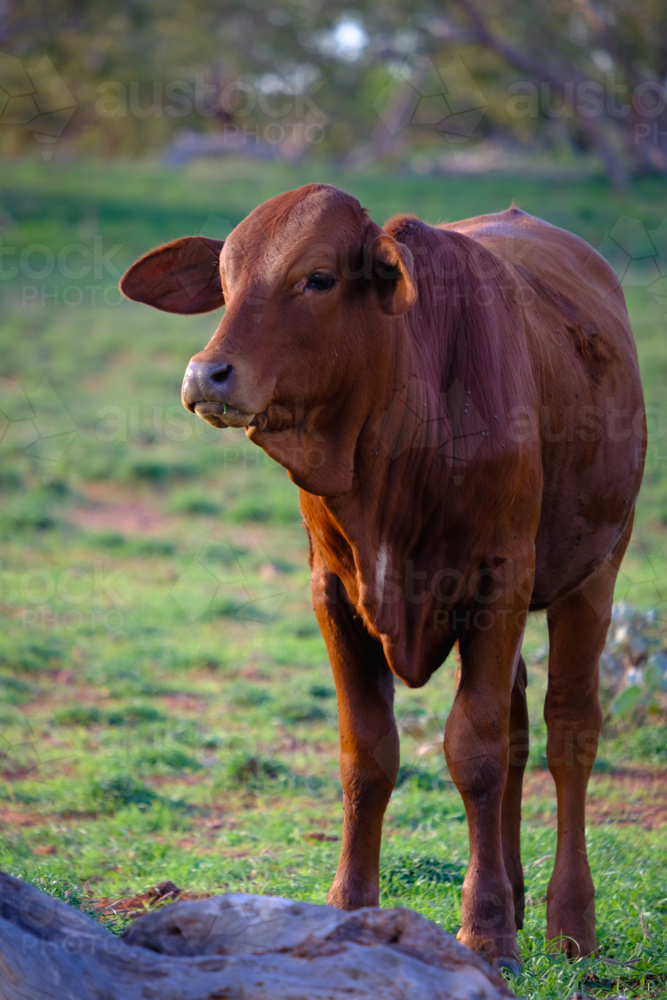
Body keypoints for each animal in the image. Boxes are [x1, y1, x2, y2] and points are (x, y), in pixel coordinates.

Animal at [121, 184, 648, 972]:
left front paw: (486, 932)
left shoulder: (499, 580)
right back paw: (518, 894)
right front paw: (349, 908)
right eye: (224, 280)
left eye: (317, 278)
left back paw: (567, 922)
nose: (205, 375)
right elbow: (367, 753)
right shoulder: (333, 590)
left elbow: (474, 751)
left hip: (593, 570)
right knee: (521, 725)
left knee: (568, 733)